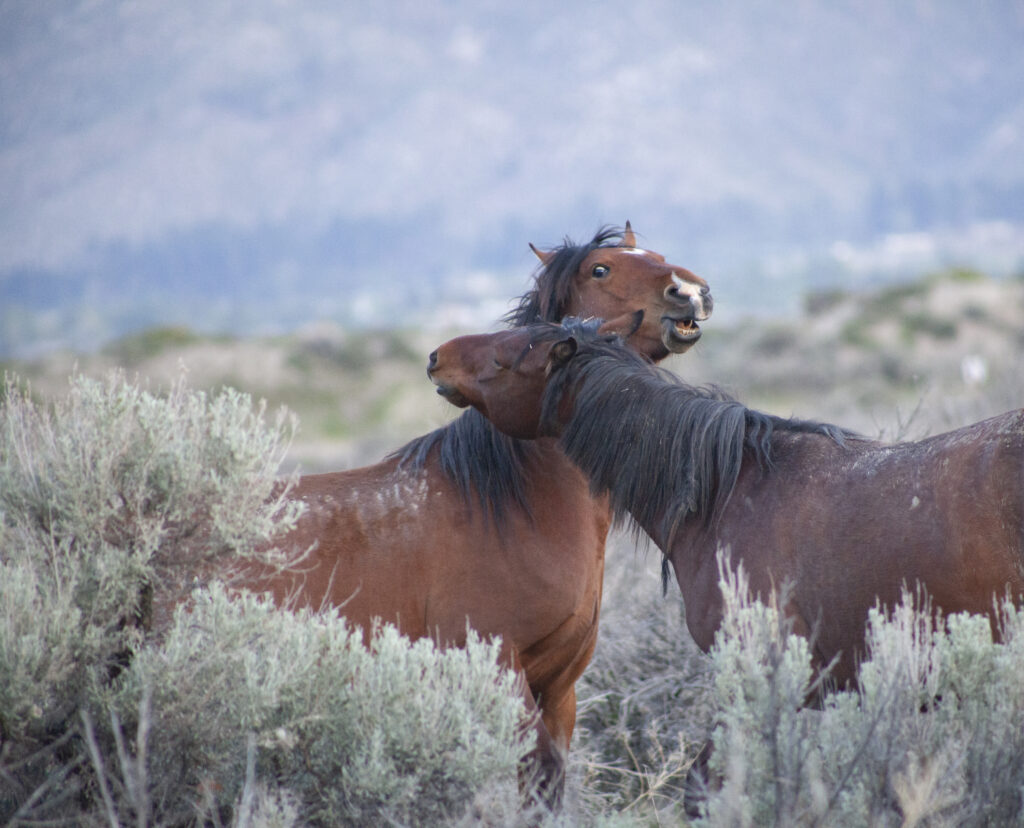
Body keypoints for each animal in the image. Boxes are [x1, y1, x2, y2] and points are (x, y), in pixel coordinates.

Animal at [227, 226, 713, 805]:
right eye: (601, 268)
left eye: (657, 256)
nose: (691, 292)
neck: (510, 505)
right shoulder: (498, 670)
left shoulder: (560, 690)